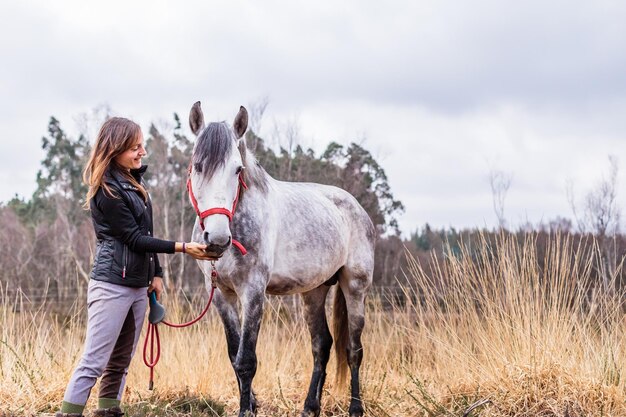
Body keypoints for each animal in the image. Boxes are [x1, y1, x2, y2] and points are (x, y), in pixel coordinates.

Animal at [188, 101, 372, 416]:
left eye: (237, 170)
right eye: (197, 165)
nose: (217, 239)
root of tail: (356, 207)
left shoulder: (253, 292)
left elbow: (246, 360)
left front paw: (246, 410)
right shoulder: (222, 294)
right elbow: (233, 355)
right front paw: (251, 403)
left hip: (355, 287)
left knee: (353, 350)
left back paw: (355, 408)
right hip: (314, 291)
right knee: (321, 345)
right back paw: (310, 407)